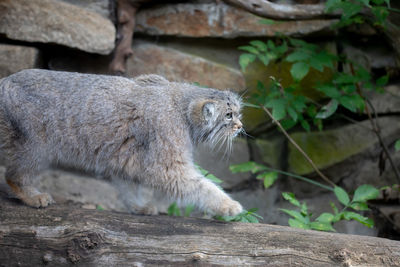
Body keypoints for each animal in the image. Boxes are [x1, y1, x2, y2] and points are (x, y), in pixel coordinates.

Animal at [0, 69, 244, 218]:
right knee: (12, 175)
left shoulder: (124, 158)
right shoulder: (167, 167)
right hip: (37, 148)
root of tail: (5, 80)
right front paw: (228, 205)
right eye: (229, 115)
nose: (241, 126)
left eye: (238, 113)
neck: (181, 108)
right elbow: (202, 186)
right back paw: (32, 196)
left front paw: (138, 206)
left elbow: (128, 187)